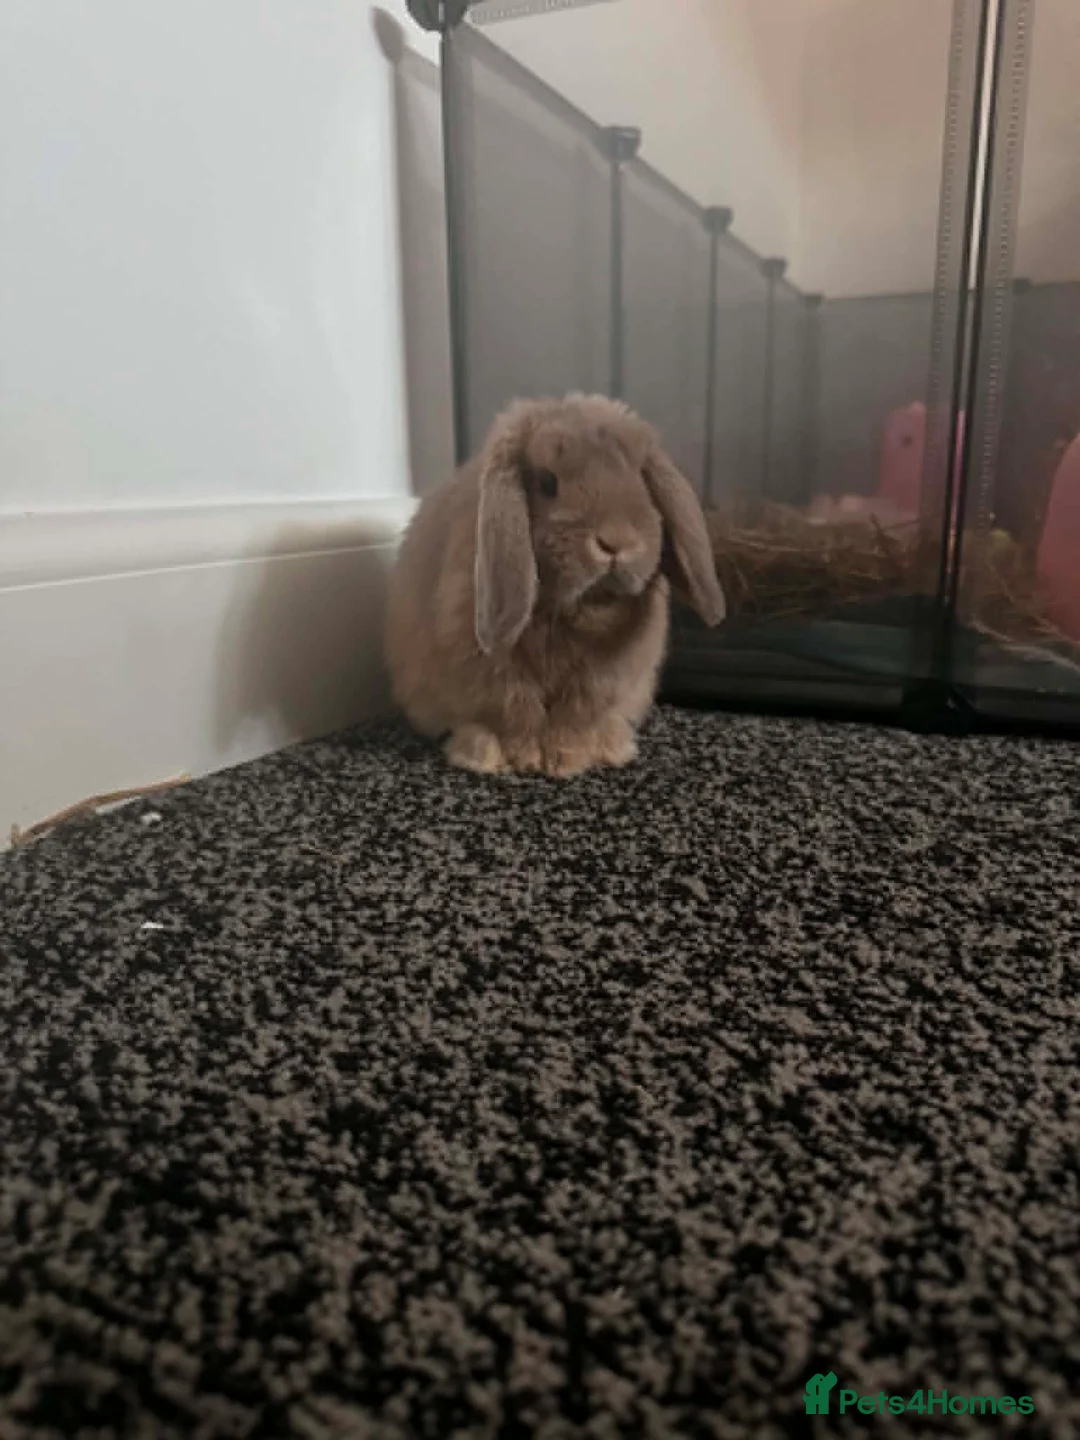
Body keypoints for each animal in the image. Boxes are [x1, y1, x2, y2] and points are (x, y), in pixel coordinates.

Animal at [384, 393, 725, 778]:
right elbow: (517, 714)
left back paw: (614, 743)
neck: (578, 611)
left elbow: (574, 717)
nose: (616, 542)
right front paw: (527, 759)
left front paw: (566, 760)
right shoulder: (496, 675)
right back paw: (480, 752)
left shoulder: (602, 678)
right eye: (548, 483)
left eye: (640, 479)